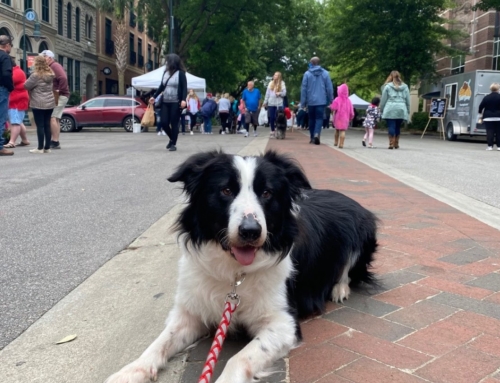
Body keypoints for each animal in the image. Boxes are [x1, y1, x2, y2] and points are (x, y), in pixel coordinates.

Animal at [106, 151, 378, 383]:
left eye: (267, 193)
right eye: (226, 190)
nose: (250, 231)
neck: (234, 272)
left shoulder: (283, 323)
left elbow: (239, 359)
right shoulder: (191, 311)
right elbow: (160, 342)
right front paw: (131, 371)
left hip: (363, 234)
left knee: (347, 271)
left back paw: (339, 289)